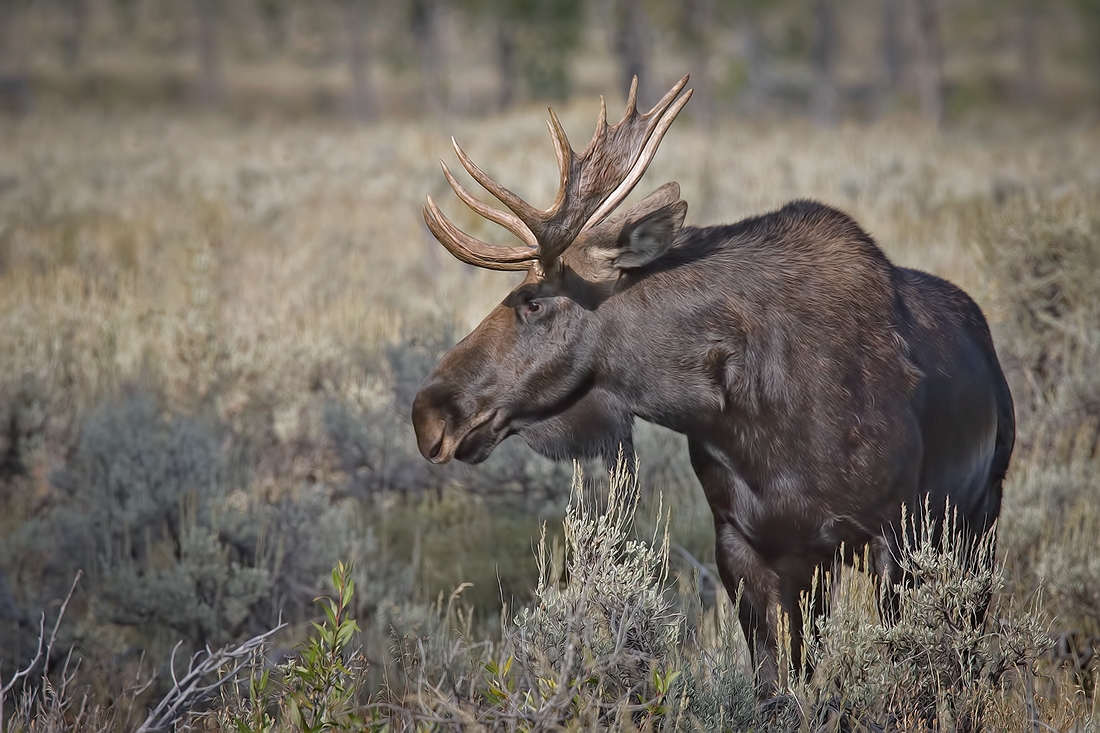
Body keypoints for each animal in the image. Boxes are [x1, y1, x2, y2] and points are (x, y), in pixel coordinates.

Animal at [411, 77, 1012, 695]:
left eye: (532, 301)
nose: (428, 411)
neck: (742, 412)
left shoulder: (891, 536)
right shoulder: (747, 544)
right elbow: (775, 685)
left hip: (978, 521)